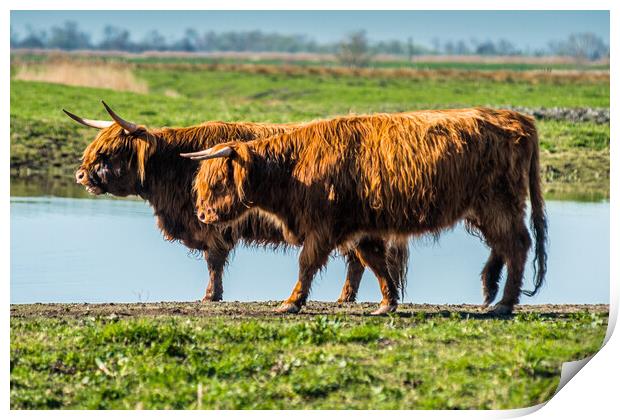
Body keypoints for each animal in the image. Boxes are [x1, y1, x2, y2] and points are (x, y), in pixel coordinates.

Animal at [185, 108, 548, 316]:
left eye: (217, 183)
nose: (202, 215)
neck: (294, 167)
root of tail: (518, 119)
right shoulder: (361, 227)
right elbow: (376, 263)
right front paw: (387, 304)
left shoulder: (321, 226)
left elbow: (307, 263)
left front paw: (291, 302)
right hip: (485, 208)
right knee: (503, 245)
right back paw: (491, 290)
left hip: (498, 203)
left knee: (517, 244)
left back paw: (504, 303)